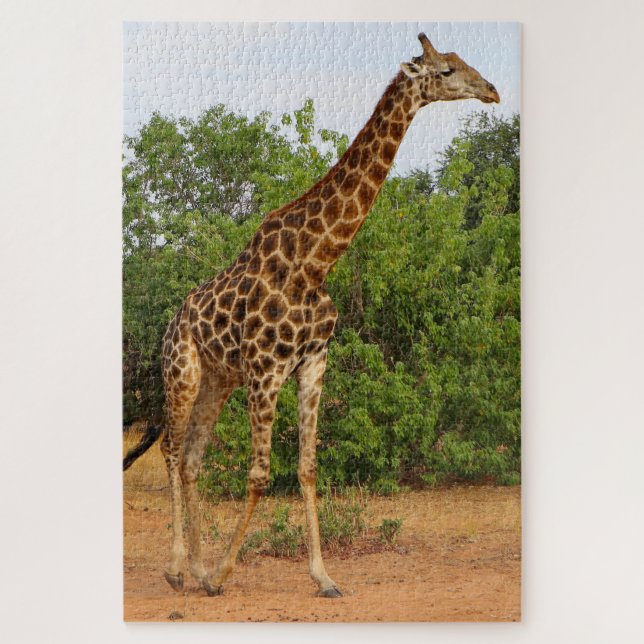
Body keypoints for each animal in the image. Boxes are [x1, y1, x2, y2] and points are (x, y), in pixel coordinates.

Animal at [123, 33, 499, 598]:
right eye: (448, 70)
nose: (493, 89)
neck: (316, 260)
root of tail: (171, 323)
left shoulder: (313, 363)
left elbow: (306, 468)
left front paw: (323, 576)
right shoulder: (266, 369)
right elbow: (260, 474)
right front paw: (224, 574)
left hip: (219, 379)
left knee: (191, 458)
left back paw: (195, 566)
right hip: (182, 370)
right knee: (169, 448)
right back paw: (176, 567)